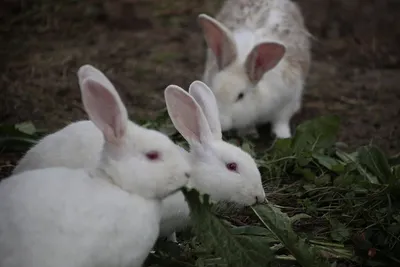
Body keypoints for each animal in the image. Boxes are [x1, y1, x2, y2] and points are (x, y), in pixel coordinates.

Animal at [198, 0, 310, 139]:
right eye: (213, 89)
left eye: (240, 96)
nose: (220, 122)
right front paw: (249, 132)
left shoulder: (289, 101)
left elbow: (281, 121)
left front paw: (283, 135)